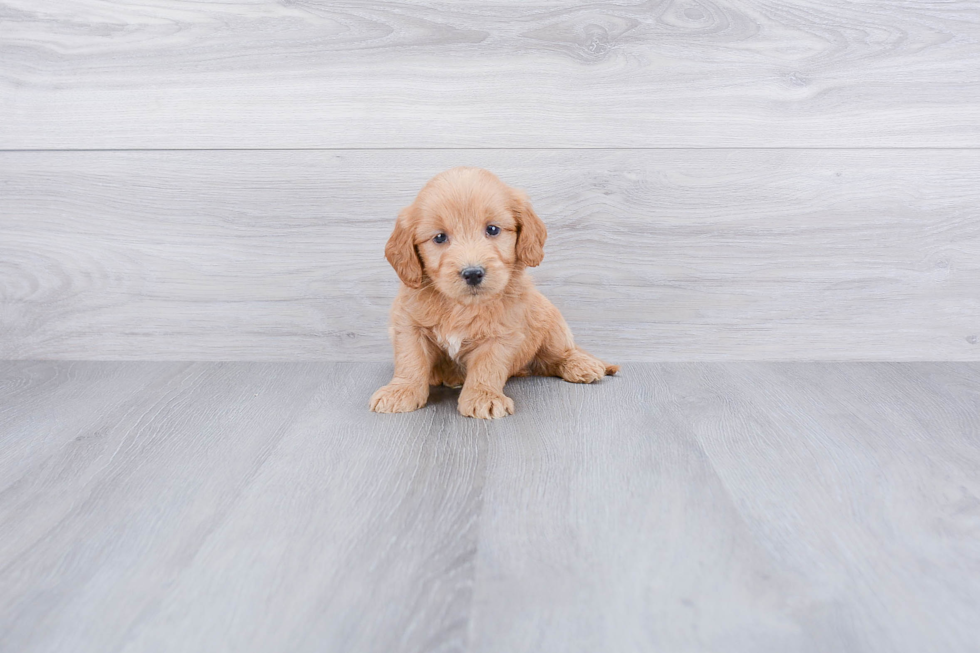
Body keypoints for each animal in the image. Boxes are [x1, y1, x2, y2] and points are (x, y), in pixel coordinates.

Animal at [372, 164, 616, 418]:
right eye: (439, 237)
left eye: (492, 229)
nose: (472, 273)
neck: (461, 306)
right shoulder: (409, 326)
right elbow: (411, 360)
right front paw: (400, 391)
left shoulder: (501, 334)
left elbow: (487, 366)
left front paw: (483, 396)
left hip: (551, 324)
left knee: (560, 353)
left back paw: (580, 363)